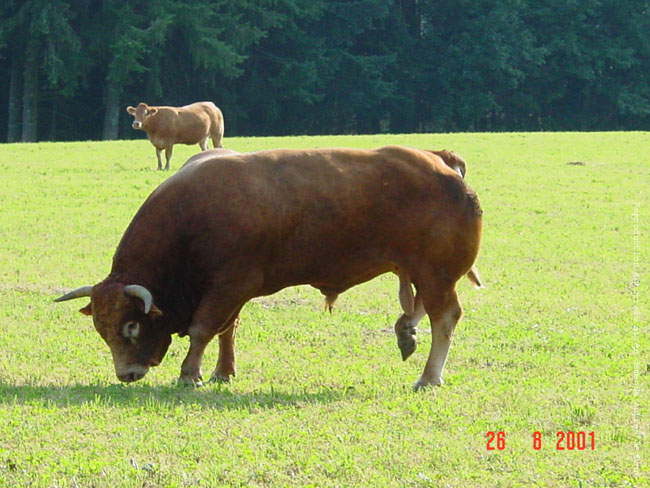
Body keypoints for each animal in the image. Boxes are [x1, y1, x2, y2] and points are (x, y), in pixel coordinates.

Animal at [54, 147, 480, 390]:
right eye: (102, 329)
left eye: (130, 326)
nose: (125, 374)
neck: (189, 214)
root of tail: (445, 164)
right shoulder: (233, 291)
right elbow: (227, 329)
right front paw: (222, 371)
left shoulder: (229, 284)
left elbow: (204, 329)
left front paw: (190, 373)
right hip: (422, 271)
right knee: (422, 306)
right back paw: (406, 331)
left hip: (436, 272)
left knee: (445, 317)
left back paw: (429, 375)